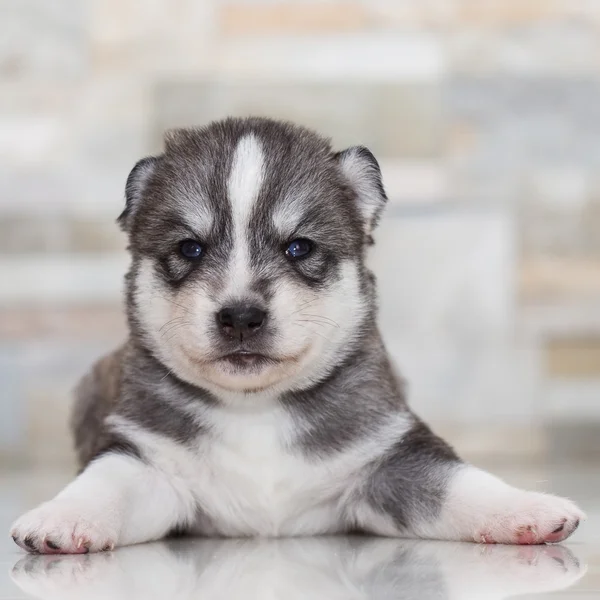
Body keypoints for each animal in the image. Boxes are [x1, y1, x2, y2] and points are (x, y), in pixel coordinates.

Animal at [9, 117, 584, 552]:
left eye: (299, 247)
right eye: (190, 248)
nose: (241, 316)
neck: (255, 410)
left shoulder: (389, 459)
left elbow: (459, 484)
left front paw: (526, 507)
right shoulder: (147, 461)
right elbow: (105, 482)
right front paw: (61, 517)